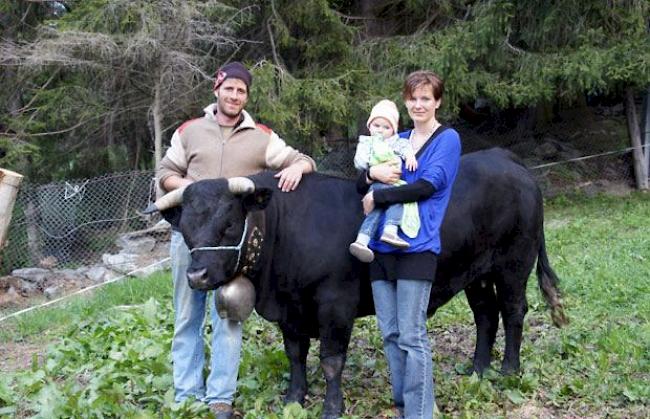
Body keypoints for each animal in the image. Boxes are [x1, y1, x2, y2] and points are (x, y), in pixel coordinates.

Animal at [154, 147, 564, 416]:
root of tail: (504, 159)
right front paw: (294, 398)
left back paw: (508, 370)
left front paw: (331, 406)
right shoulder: (291, 310)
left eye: (228, 222)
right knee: (486, 315)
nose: (196, 275)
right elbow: (295, 354)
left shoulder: (335, 302)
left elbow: (331, 360)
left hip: (513, 264)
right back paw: (478, 370)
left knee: (513, 310)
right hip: (475, 273)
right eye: (186, 229)